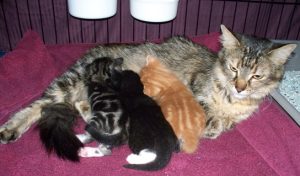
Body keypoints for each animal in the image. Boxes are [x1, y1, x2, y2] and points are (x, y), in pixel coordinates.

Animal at [0, 25, 296, 146]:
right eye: (234, 69)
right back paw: (10, 128)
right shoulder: (194, 92)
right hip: (68, 82)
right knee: (39, 104)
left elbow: (224, 124)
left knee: (77, 103)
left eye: (256, 76)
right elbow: (207, 115)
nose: (240, 87)